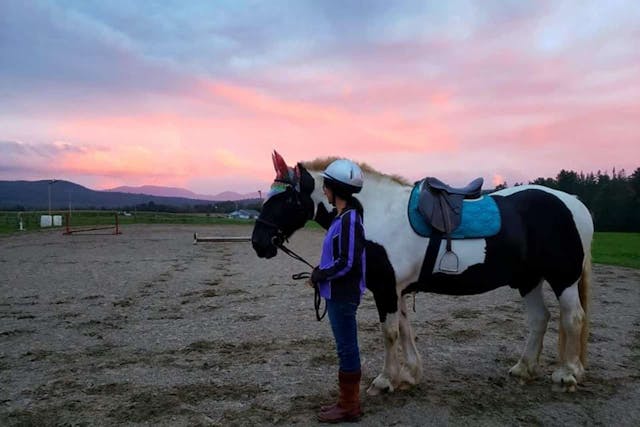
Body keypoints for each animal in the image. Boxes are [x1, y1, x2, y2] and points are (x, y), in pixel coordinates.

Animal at [251, 153, 596, 394]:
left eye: (286, 197)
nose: (259, 242)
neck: (375, 213)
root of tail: (575, 203)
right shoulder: (397, 289)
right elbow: (405, 329)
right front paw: (410, 375)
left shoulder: (386, 289)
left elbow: (389, 333)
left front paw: (386, 380)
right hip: (528, 280)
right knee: (540, 319)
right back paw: (524, 369)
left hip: (563, 279)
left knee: (573, 318)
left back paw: (567, 375)